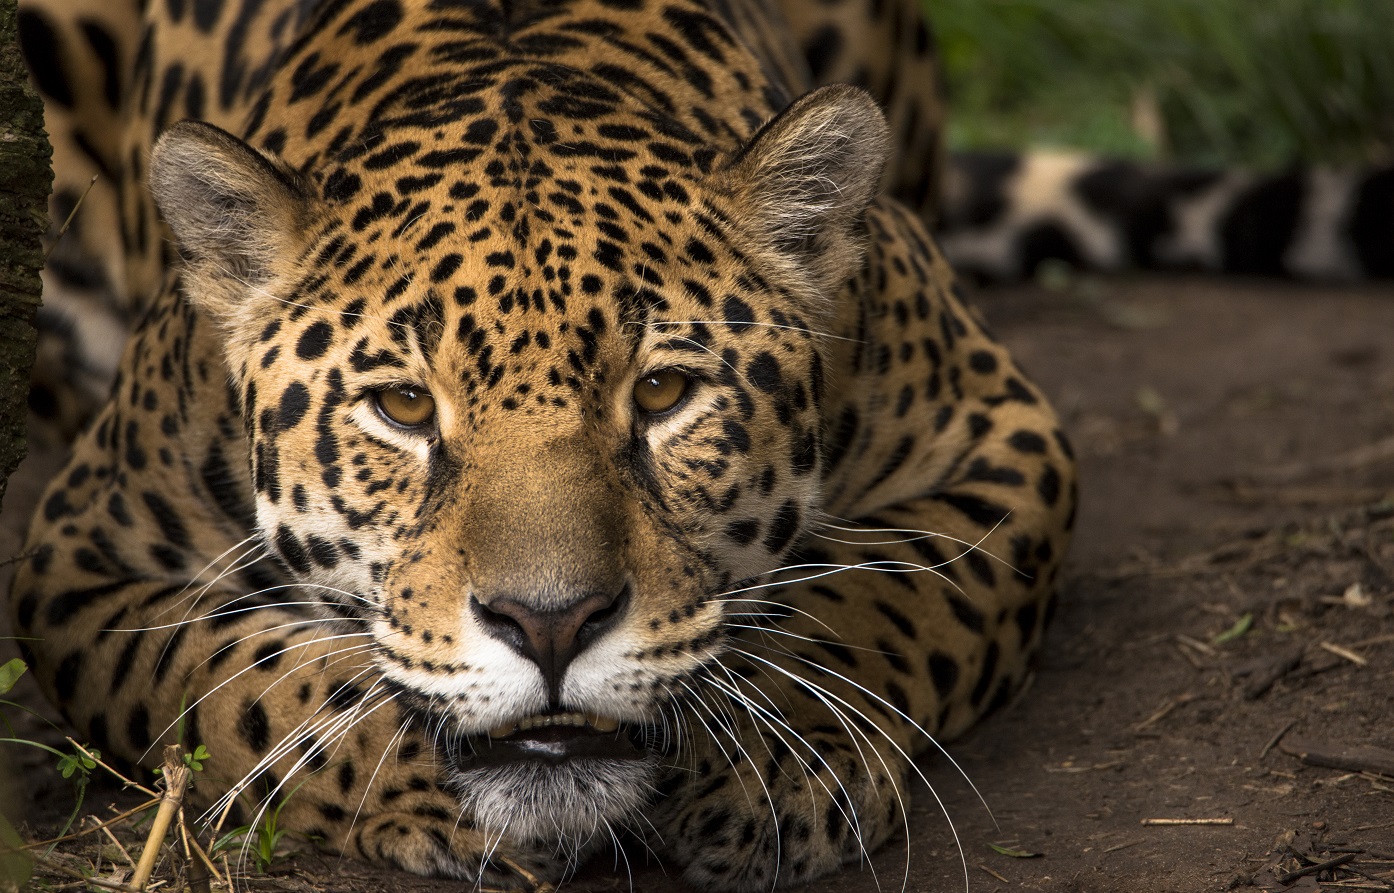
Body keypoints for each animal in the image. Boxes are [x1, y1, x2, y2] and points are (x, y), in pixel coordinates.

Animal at [10, 0, 1077, 886]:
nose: (551, 625)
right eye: (403, 406)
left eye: (663, 392)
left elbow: (888, 590)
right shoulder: (76, 552)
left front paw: (775, 760)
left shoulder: (1004, 433)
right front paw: (423, 780)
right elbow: (232, 681)